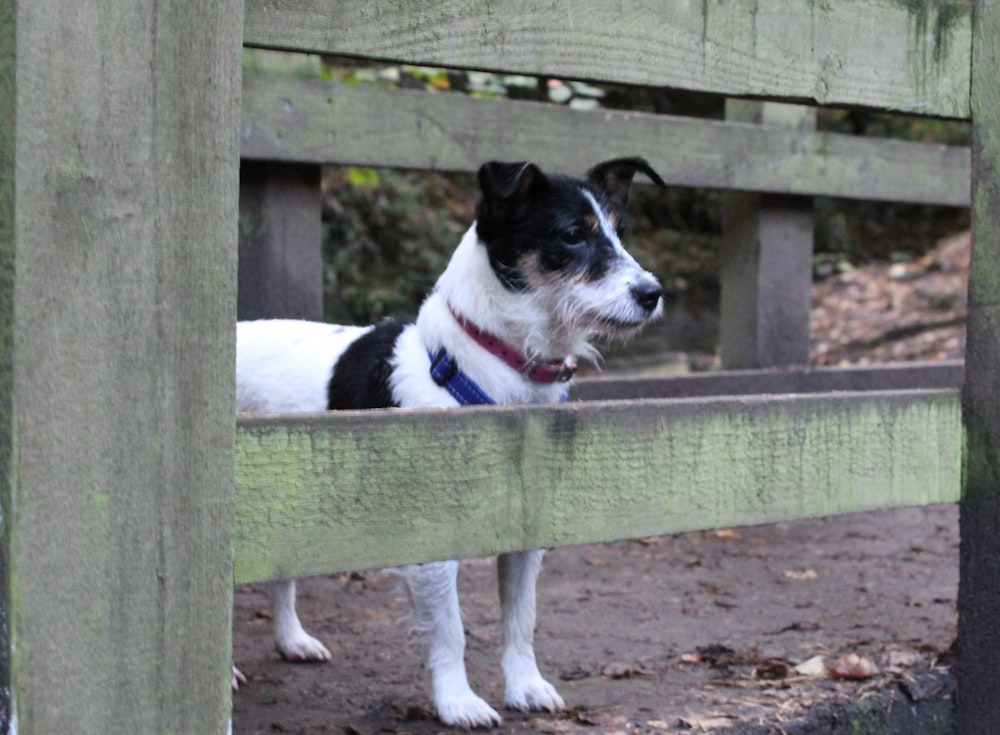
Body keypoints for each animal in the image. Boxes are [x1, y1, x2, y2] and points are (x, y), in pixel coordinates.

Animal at [236, 158, 664, 728]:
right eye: (573, 235)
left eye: (620, 231)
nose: (653, 292)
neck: (492, 369)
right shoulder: (432, 539)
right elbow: (450, 631)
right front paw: (458, 702)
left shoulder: (527, 536)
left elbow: (521, 621)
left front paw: (525, 686)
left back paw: (292, 640)